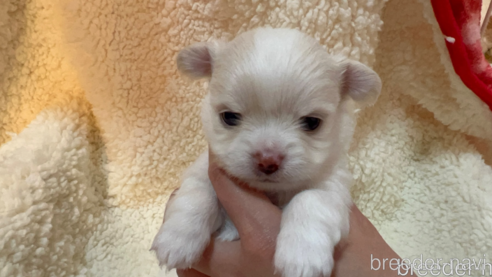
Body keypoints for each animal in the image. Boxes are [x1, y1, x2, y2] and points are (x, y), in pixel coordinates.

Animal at [152, 26, 382, 276]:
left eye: (312, 122)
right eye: (229, 117)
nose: (267, 160)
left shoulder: (332, 187)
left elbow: (309, 199)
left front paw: (301, 258)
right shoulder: (202, 170)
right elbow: (197, 194)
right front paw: (177, 239)